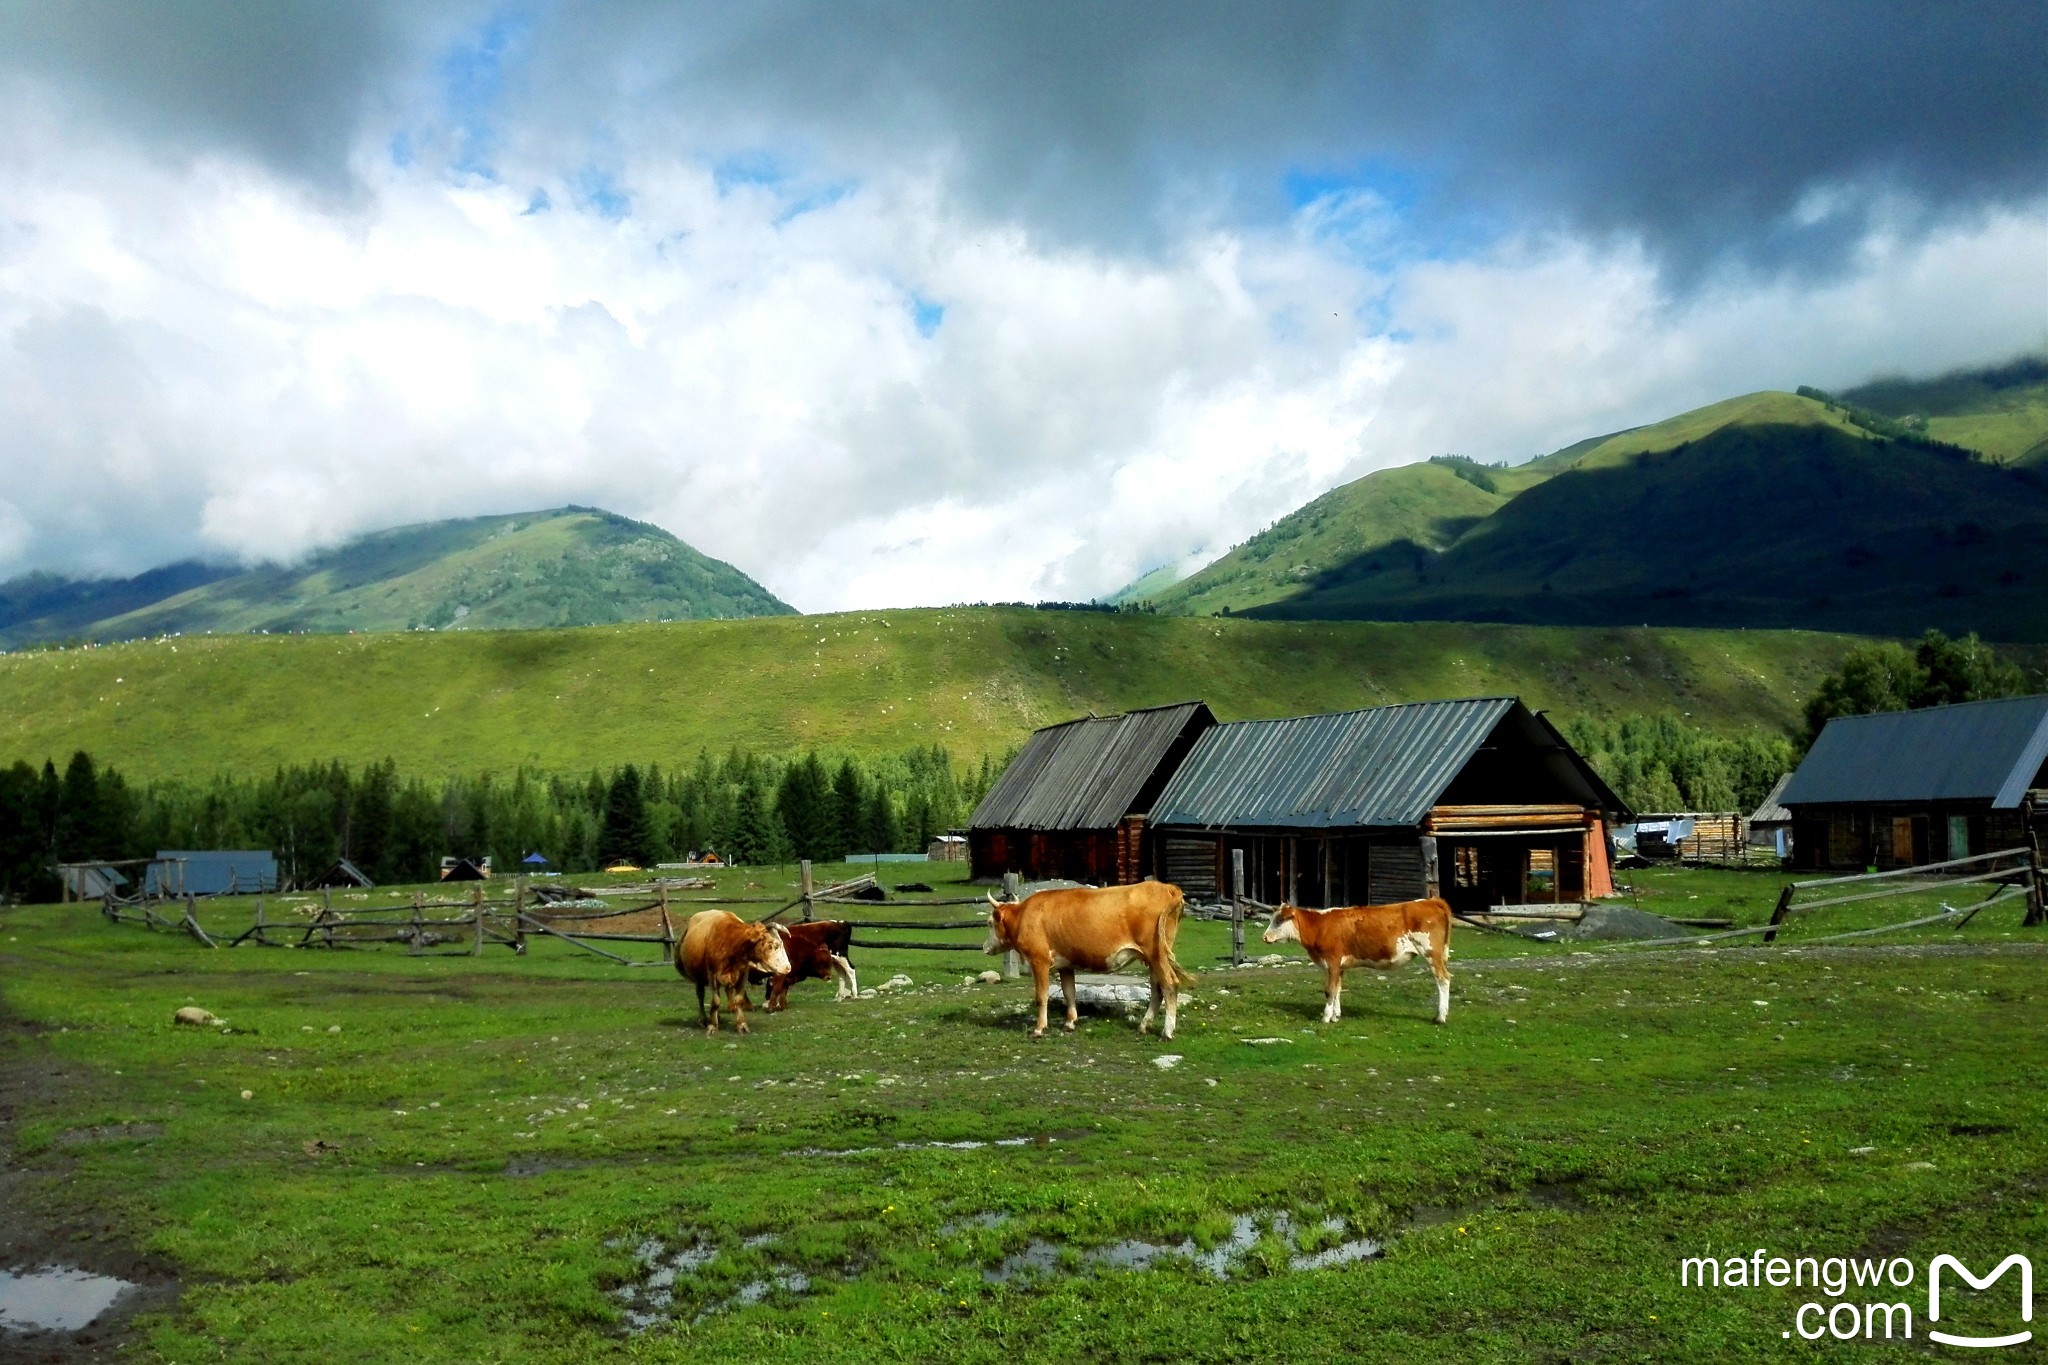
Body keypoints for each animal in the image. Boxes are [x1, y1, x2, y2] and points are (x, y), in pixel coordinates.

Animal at [983, 879, 1196, 1039]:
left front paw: (1039, 1028)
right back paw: (1144, 1026)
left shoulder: (1039, 960)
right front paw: (1069, 1023)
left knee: (1169, 984)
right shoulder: (1065, 964)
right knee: (1157, 989)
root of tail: (1168, 888)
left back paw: (1167, 1031)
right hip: (1154, 958)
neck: (1024, 915)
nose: (985, 947)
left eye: (989, 922)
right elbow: (1069, 992)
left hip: (1156, 953)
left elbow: (1041, 996)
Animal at [1253, 896, 1449, 1023]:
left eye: (1279, 920)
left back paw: (1440, 1017)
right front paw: (1336, 1015)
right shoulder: (1339, 966)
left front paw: (1326, 1017)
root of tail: (1431, 900)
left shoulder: (1332, 962)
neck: (1319, 926)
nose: (1264, 937)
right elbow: (1338, 989)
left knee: (1443, 980)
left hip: (1432, 953)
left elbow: (1329, 990)